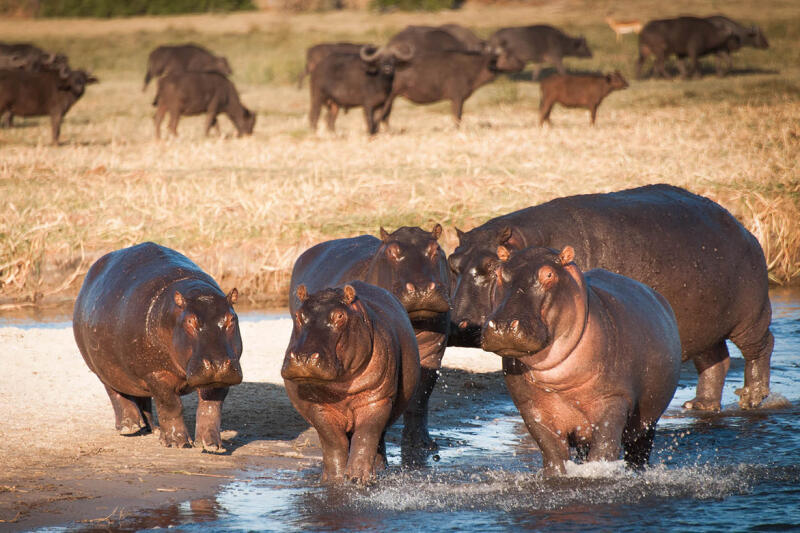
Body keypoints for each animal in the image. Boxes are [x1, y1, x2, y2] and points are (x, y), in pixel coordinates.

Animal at [73, 242, 243, 451]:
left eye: (231, 318)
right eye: (189, 321)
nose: (218, 364)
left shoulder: (218, 378)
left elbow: (211, 408)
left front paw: (211, 445)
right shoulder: (156, 374)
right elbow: (170, 405)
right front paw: (177, 443)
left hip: (134, 370)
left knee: (141, 396)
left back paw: (151, 428)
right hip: (101, 368)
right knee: (116, 393)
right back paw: (130, 428)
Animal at [282, 282, 420, 484]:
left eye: (340, 316)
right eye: (299, 315)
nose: (304, 357)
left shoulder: (377, 400)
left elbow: (366, 436)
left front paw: (358, 478)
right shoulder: (318, 406)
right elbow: (333, 441)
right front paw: (335, 479)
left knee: (378, 441)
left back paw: (378, 471)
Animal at [290, 225, 450, 451]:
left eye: (436, 249)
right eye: (391, 251)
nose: (421, 288)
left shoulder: (432, 355)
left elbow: (421, 397)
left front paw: (422, 444)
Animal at [449, 184, 773, 412]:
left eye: (492, 267)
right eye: (452, 262)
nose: (459, 323)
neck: (530, 241)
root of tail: (744, 229)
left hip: (751, 316)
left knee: (760, 347)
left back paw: (751, 399)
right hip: (705, 323)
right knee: (715, 359)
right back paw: (699, 406)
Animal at [481, 245, 681, 475]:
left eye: (549, 274)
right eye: (498, 273)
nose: (504, 325)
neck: (558, 382)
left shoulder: (614, 400)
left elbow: (604, 449)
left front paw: (598, 473)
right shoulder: (532, 409)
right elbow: (553, 453)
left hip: (647, 421)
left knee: (639, 451)